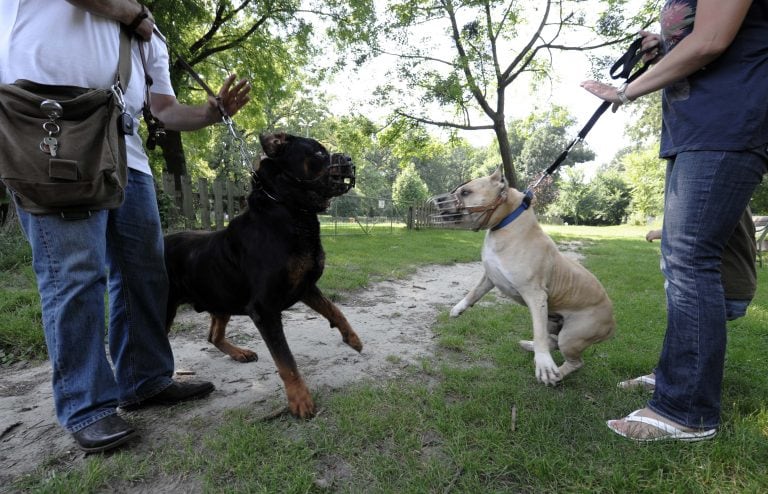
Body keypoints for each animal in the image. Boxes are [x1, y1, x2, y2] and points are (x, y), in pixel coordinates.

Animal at [436, 168, 616, 384]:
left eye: (465, 192)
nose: (438, 200)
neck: (505, 225)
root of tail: (612, 321)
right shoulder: (489, 277)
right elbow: (473, 293)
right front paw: (458, 308)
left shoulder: (535, 296)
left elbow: (538, 332)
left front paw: (544, 364)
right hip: (553, 322)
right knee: (552, 341)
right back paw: (531, 347)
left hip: (571, 337)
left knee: (573, 360)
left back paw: (555, 374)